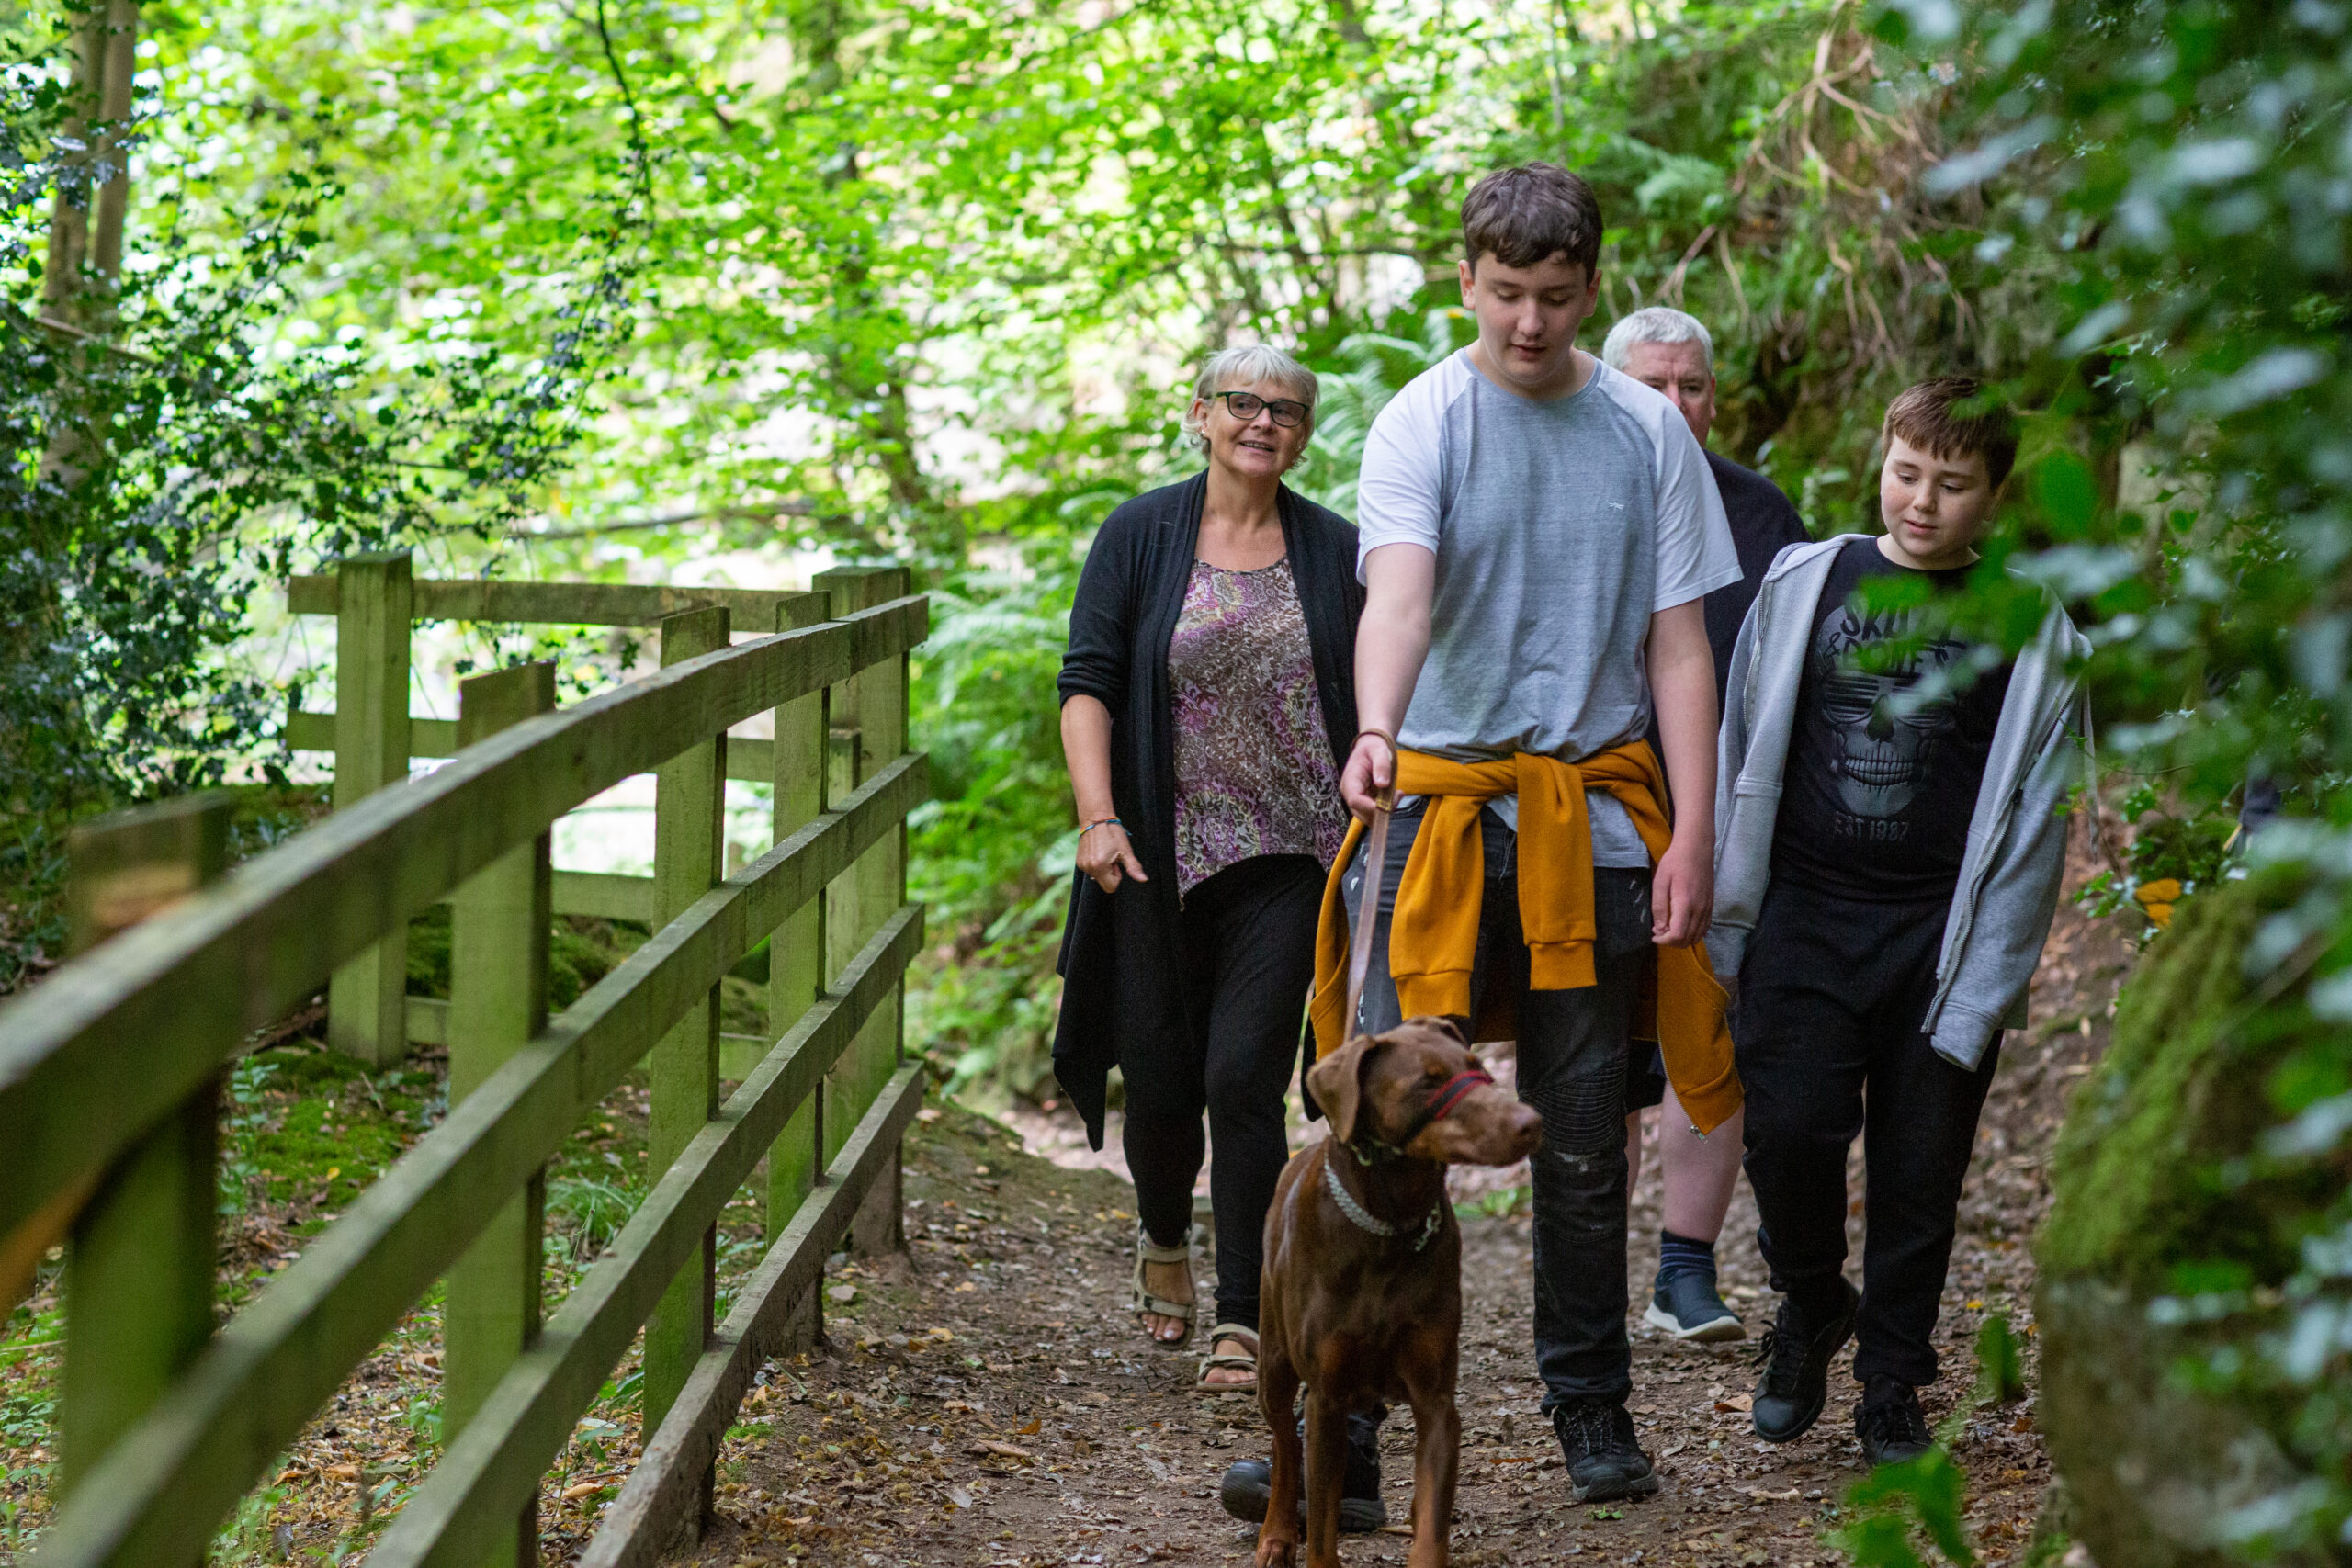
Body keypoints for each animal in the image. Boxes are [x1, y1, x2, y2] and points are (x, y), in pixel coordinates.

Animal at [1250, 1020, 1543, 1568]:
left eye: (1478, 1068)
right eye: (1426, 1082)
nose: (1531, 1122)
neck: (1389, 1226)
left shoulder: (1436, 1398)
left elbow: (1433, 1518)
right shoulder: (1327, 1399)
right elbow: (1321, 1525)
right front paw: (1302, 1539)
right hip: (1274, 1361)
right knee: (1283, 1443)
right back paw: (1276, 1534)